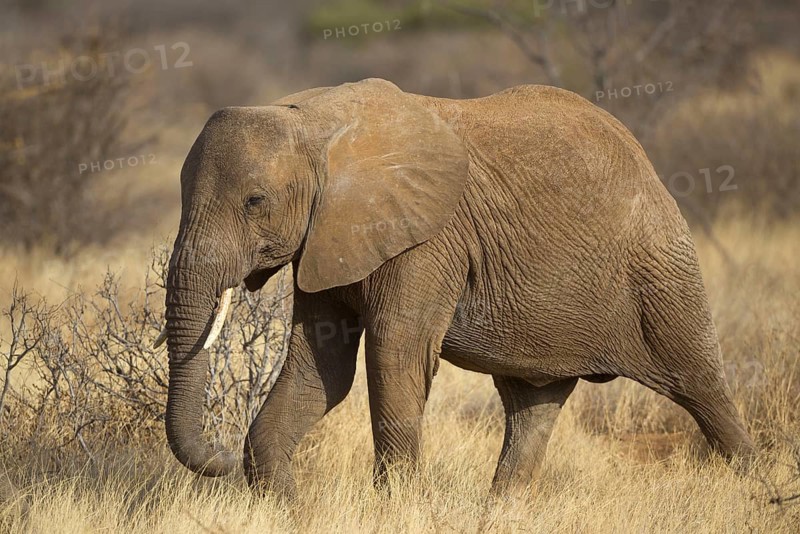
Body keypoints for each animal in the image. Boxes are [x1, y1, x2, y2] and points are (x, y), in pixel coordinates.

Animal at [156, 78, 755, 499]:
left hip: (660, 267)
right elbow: (318, 368)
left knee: (701, 385)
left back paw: (755, 490)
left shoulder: (428, 239)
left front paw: (396, 507)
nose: (220, 457)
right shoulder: (326, 237)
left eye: (254, 201)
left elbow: (395, 355)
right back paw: (503, 509)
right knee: (532, 407)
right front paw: (287, 507)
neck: (316, 120)